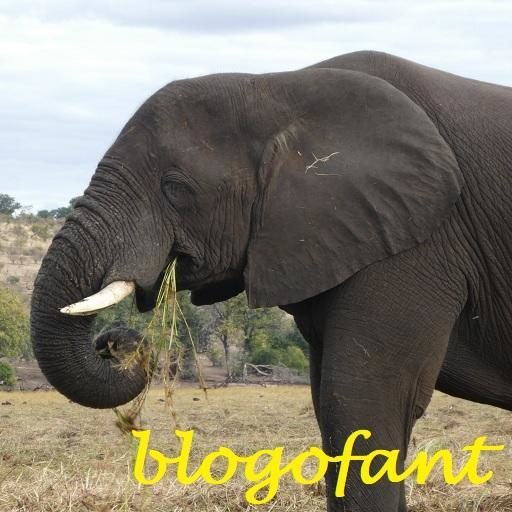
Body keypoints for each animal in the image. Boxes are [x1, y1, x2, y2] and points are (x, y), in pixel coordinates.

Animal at [31, 50, 512, 511]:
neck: (278, 86)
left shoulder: (418, 241)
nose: (118, 341)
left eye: (176, 189)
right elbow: (331, 406)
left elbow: (359, 404)